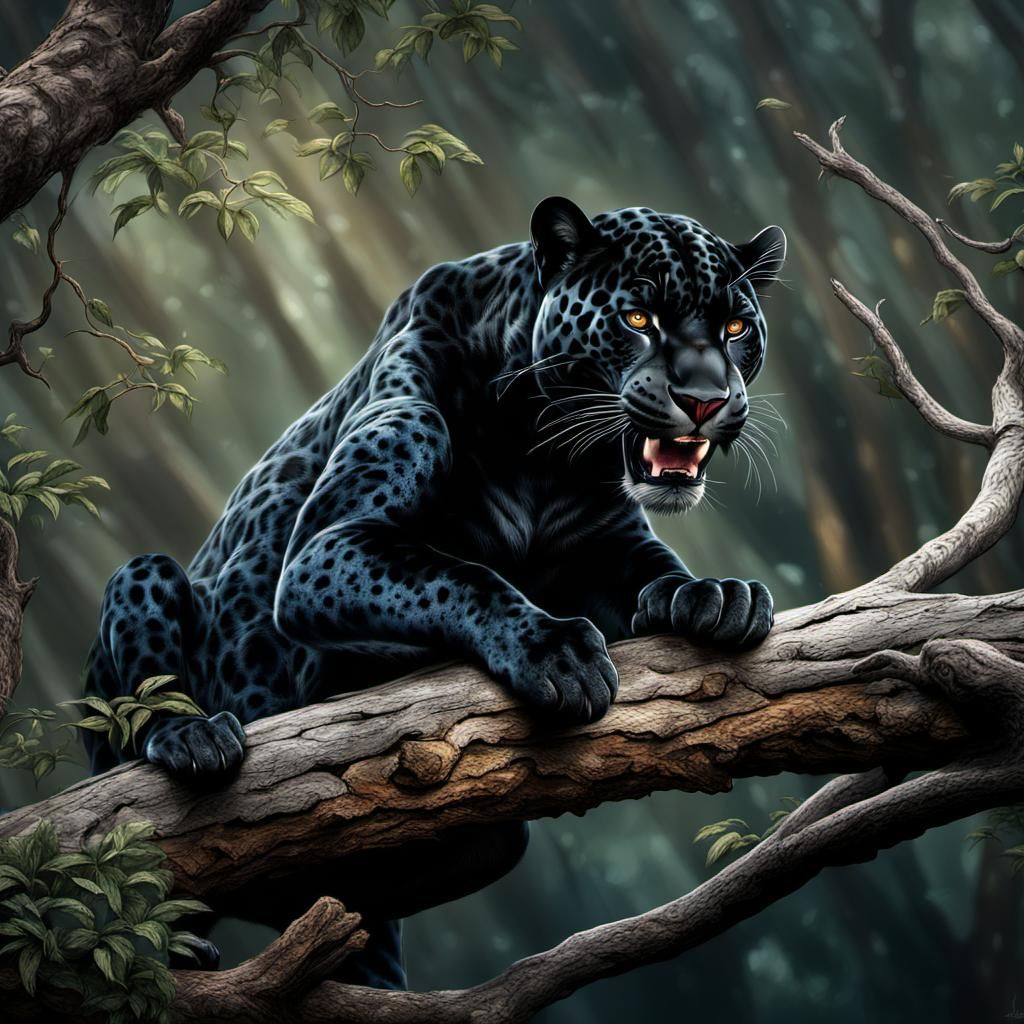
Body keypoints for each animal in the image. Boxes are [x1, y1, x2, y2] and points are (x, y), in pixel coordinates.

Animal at [82, 197, 786, 989]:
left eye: (735, 327)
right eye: (638, 317)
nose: (704, 401)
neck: (544, 450)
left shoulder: (606, 540)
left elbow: (657, 571)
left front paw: (717, 595)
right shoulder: (329, 545)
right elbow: (458, 574)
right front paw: (555, 650)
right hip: (145, 585)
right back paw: (197, 743)